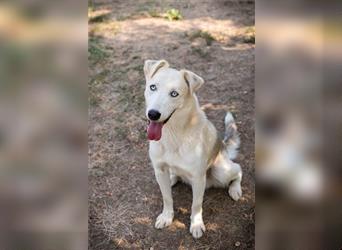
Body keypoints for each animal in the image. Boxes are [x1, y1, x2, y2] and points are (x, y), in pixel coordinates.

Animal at [144, 59, 243, 238]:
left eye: (174, 94)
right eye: (153, 87)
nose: (153, 114)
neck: (173, 134)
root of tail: (223, 147)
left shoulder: (198, 177)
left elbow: (196, 205)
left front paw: (196, 225)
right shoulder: (159, 169)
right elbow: (167, 198)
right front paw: (166, 217)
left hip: (221, 171)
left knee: (238, 169)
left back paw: (235, 189)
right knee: (174, 176)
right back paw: (172, 179)